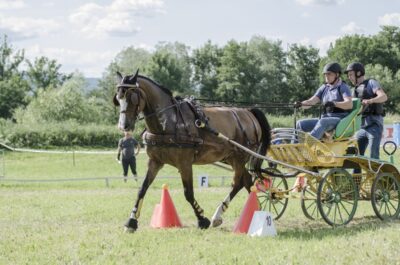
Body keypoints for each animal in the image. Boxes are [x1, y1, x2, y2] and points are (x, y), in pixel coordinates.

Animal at [112, 69, 272, 230]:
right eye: (118, 98)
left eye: (132, 97)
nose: (123, 126)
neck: (168, 122)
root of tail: (248, 112)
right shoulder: (155, 161)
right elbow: (142, 189)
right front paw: (131, 221)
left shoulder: (185, 163)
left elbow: (188, 193)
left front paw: (202, 219)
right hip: (231, 157)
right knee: (247, 181)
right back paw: (255, 211)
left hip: (240, 157)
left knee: (238, 182)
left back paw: (220, 215)